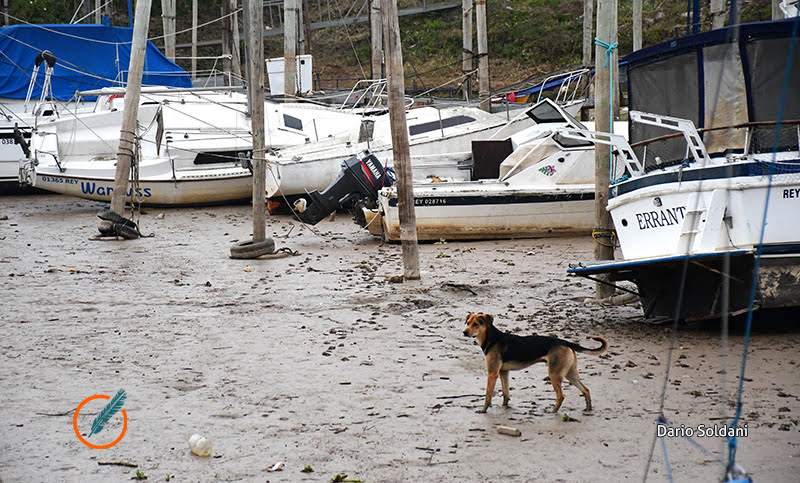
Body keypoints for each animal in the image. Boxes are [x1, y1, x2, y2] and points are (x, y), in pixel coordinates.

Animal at [462, 316, 608, 414]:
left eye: (476, 324)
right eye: (468, 323)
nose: (464, 332)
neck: (492, 338)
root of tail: (565, 342)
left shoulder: (492, 374)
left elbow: (488, 395)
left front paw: (483, 410)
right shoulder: (504, 372)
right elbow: (505, 393)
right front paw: (504, 406)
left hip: (554, 375)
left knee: (561, 396)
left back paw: (553, 411)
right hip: (570, 374)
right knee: (586, 390)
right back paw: (588, 408)